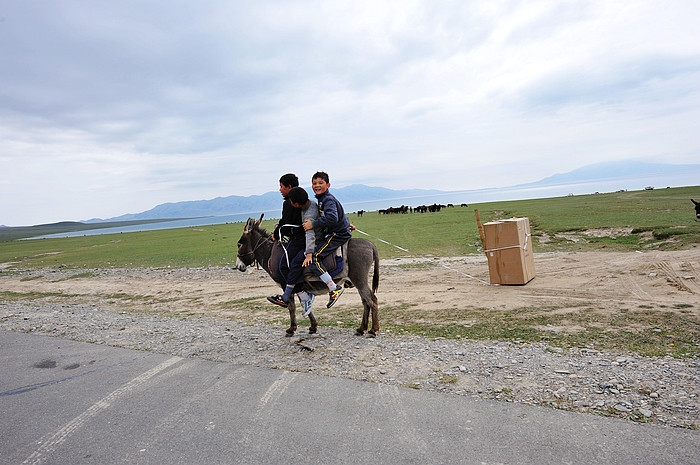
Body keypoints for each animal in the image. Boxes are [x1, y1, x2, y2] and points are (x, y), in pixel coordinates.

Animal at [235, 214, 380, 338]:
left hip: (359, 280)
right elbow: (305, 305)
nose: (238, 266)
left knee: (372, 300)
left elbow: (291, 307)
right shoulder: (299, 286)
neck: (270, 253)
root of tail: (371, 244)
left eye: (239, 244)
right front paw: (313, 327)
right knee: (365, 302)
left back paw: (373, 330)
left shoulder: (286, 284)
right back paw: (361, 329)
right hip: (357, 281)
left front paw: (291, 329)